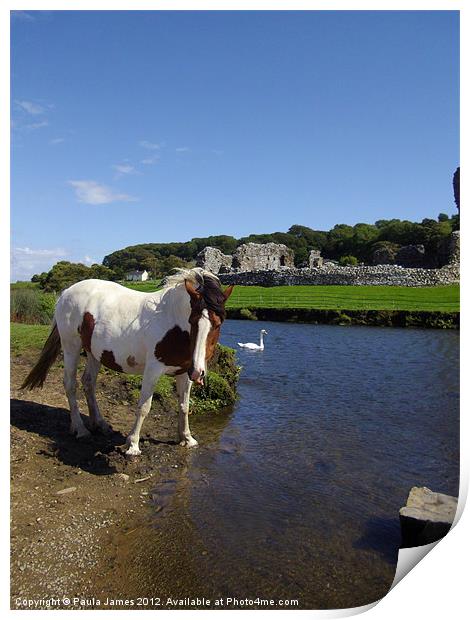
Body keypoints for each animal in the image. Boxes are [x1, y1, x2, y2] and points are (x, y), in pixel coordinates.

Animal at [21, 268, 234, 456]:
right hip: (71, 346)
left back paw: (100, 424)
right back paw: (80, 429)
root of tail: (66, 292)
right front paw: (132, 445)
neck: (172, 322)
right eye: (192, 321)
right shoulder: (153, 370)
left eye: (218, 323)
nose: (198, 373)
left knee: (88, 383)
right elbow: (144, 407)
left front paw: (187, 438)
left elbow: (184, 406)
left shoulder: (183, 372)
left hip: (93, 353)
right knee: (70, 385)